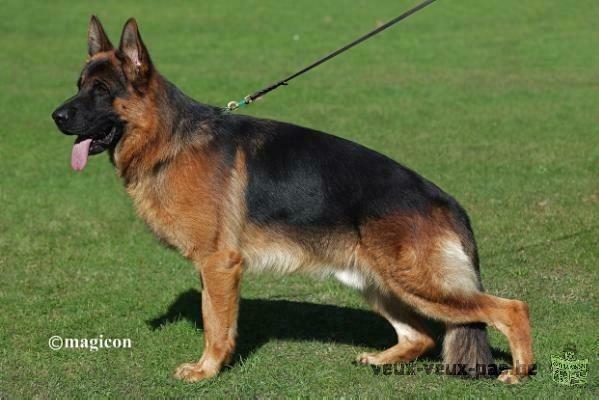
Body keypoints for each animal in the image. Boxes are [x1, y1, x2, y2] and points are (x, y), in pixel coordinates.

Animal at [51, 17, 536, 382]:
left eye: (100, 91)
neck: (169, 141)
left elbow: (215, 324)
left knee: (511, 308)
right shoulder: (212, 269)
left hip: (417, 282)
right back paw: (383, 360)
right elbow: (212, 316)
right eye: (78, 85)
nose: (55, 116)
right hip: (374, 280)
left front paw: (207, 370)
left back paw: (519, 371)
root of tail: (447, 201)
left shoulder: (219, 264)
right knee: (422, 336)